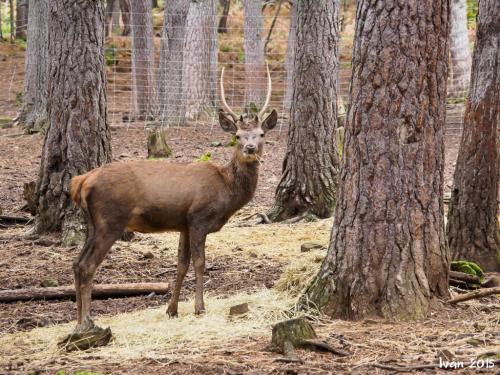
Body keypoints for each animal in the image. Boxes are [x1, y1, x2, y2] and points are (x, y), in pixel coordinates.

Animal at [67, 64, 278, 334]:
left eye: (261, 134)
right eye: (239, 135)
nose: (250, 149)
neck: (226, 190)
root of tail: (81, 181)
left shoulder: (183, 224)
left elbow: (181, 264)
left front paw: (172, 309)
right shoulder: (199, 218)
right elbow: (200, 262)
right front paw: (199, 308)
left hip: (92, 224)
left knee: (76, 263)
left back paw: (77, 322)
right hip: (110, 220)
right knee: (87, 265)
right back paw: (86, 322)